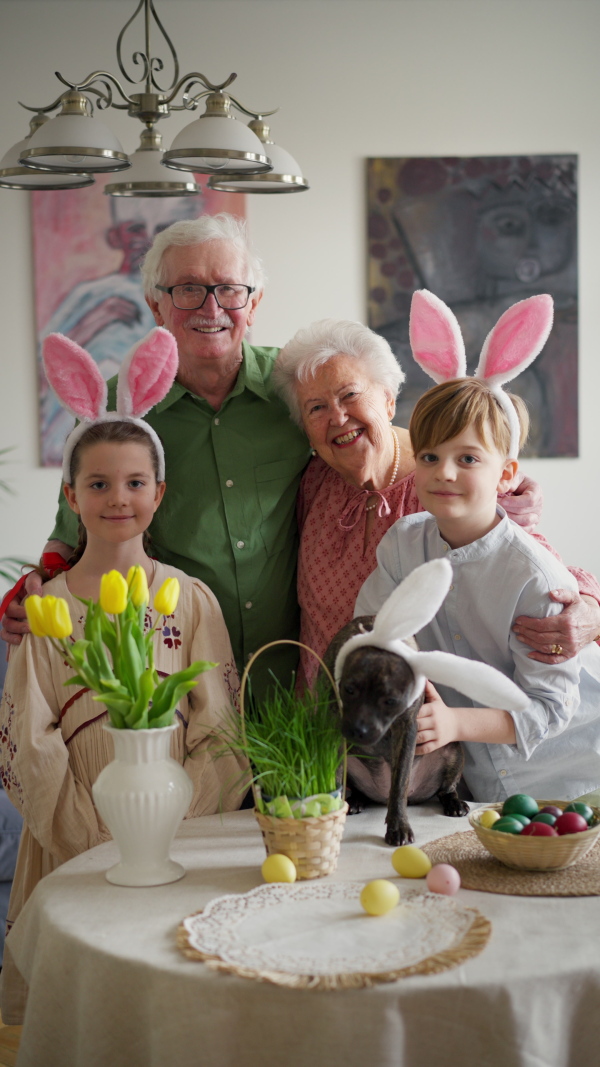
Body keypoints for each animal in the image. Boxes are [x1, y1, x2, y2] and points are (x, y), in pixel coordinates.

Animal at [322, 614, 467, 845]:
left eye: (391, 701)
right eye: (349, 689)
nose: (359, 731)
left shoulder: (407, 730)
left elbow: (399, 786)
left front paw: (399, 827)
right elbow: (333, 777)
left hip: (453, 750)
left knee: (446, 789)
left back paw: (455, 804)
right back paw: (356, 801)